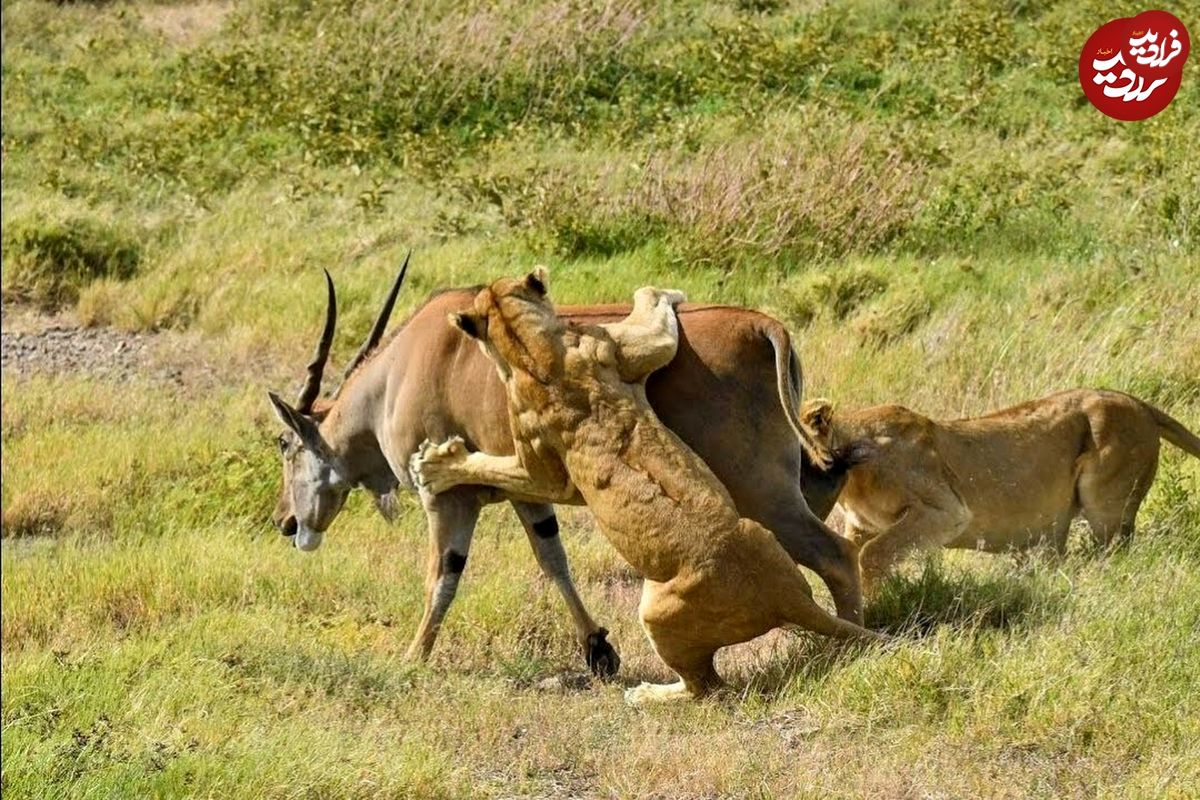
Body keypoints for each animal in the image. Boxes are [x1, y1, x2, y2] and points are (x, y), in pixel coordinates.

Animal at [266, 261, 864, 676]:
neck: (402, 370)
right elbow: (553, 559)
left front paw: (413, 657)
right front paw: (598, 649)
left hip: (762, 496)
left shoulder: (450, 500)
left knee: (834, 552)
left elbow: (443, 574)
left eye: (284, 442)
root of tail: (761, 325)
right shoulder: (529, 494)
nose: (287, 523)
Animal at [408, 271, 888, 705]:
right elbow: (657, 328)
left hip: (671, 593)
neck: (534, 348)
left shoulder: (545, 470)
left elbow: (490, 466)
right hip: (756, 525)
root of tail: (789, 598)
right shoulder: (623, 357)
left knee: (707, 686)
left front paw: (432, 464)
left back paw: (643, 694)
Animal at [801, 388, 1200, 594]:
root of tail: (1137, 401)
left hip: (1105, 503)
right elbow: (854, 555)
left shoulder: (946, 510)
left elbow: (873, 555)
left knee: (1115, 551)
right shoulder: (861, 524)